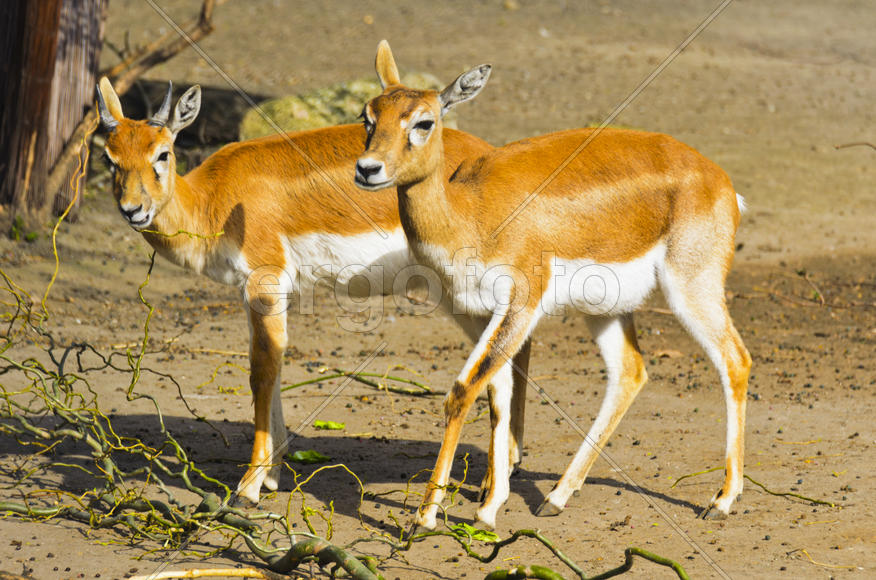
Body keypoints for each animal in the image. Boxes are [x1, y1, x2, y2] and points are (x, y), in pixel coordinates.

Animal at [94, 76, 520, 506]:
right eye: (110, 159)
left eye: (162, 154)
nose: (133, 210)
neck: (214, 198)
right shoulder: (256, 292)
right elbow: (273, 364)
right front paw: (272, 474)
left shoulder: (265, 281)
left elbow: (262, 371)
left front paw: (249, 486)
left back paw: (494, 484)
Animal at [354, 42, 752, 531]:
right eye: (368, 117)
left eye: (424, 122)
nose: (368, 169)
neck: (472, 211)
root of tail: (719, 179)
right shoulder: (481, 313)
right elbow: (497, 392)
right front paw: (490, 504)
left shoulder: (522, 303)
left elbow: (462, 391)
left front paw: (426, 518)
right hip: (605, 309)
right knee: (630, 371)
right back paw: (557, 496)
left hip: (691, 288)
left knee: (735, 360)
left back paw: (722, 500)